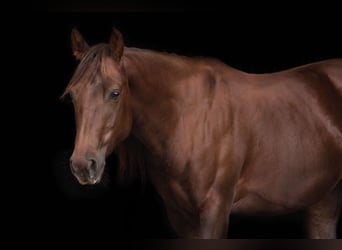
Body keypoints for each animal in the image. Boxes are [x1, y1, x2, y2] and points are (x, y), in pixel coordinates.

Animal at [62, 27, 342, 238]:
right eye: (73, 95)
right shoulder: (181, 217)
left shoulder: (214, 212)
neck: (189, 119)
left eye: (115, 93)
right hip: (324, 203)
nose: (83, 165)